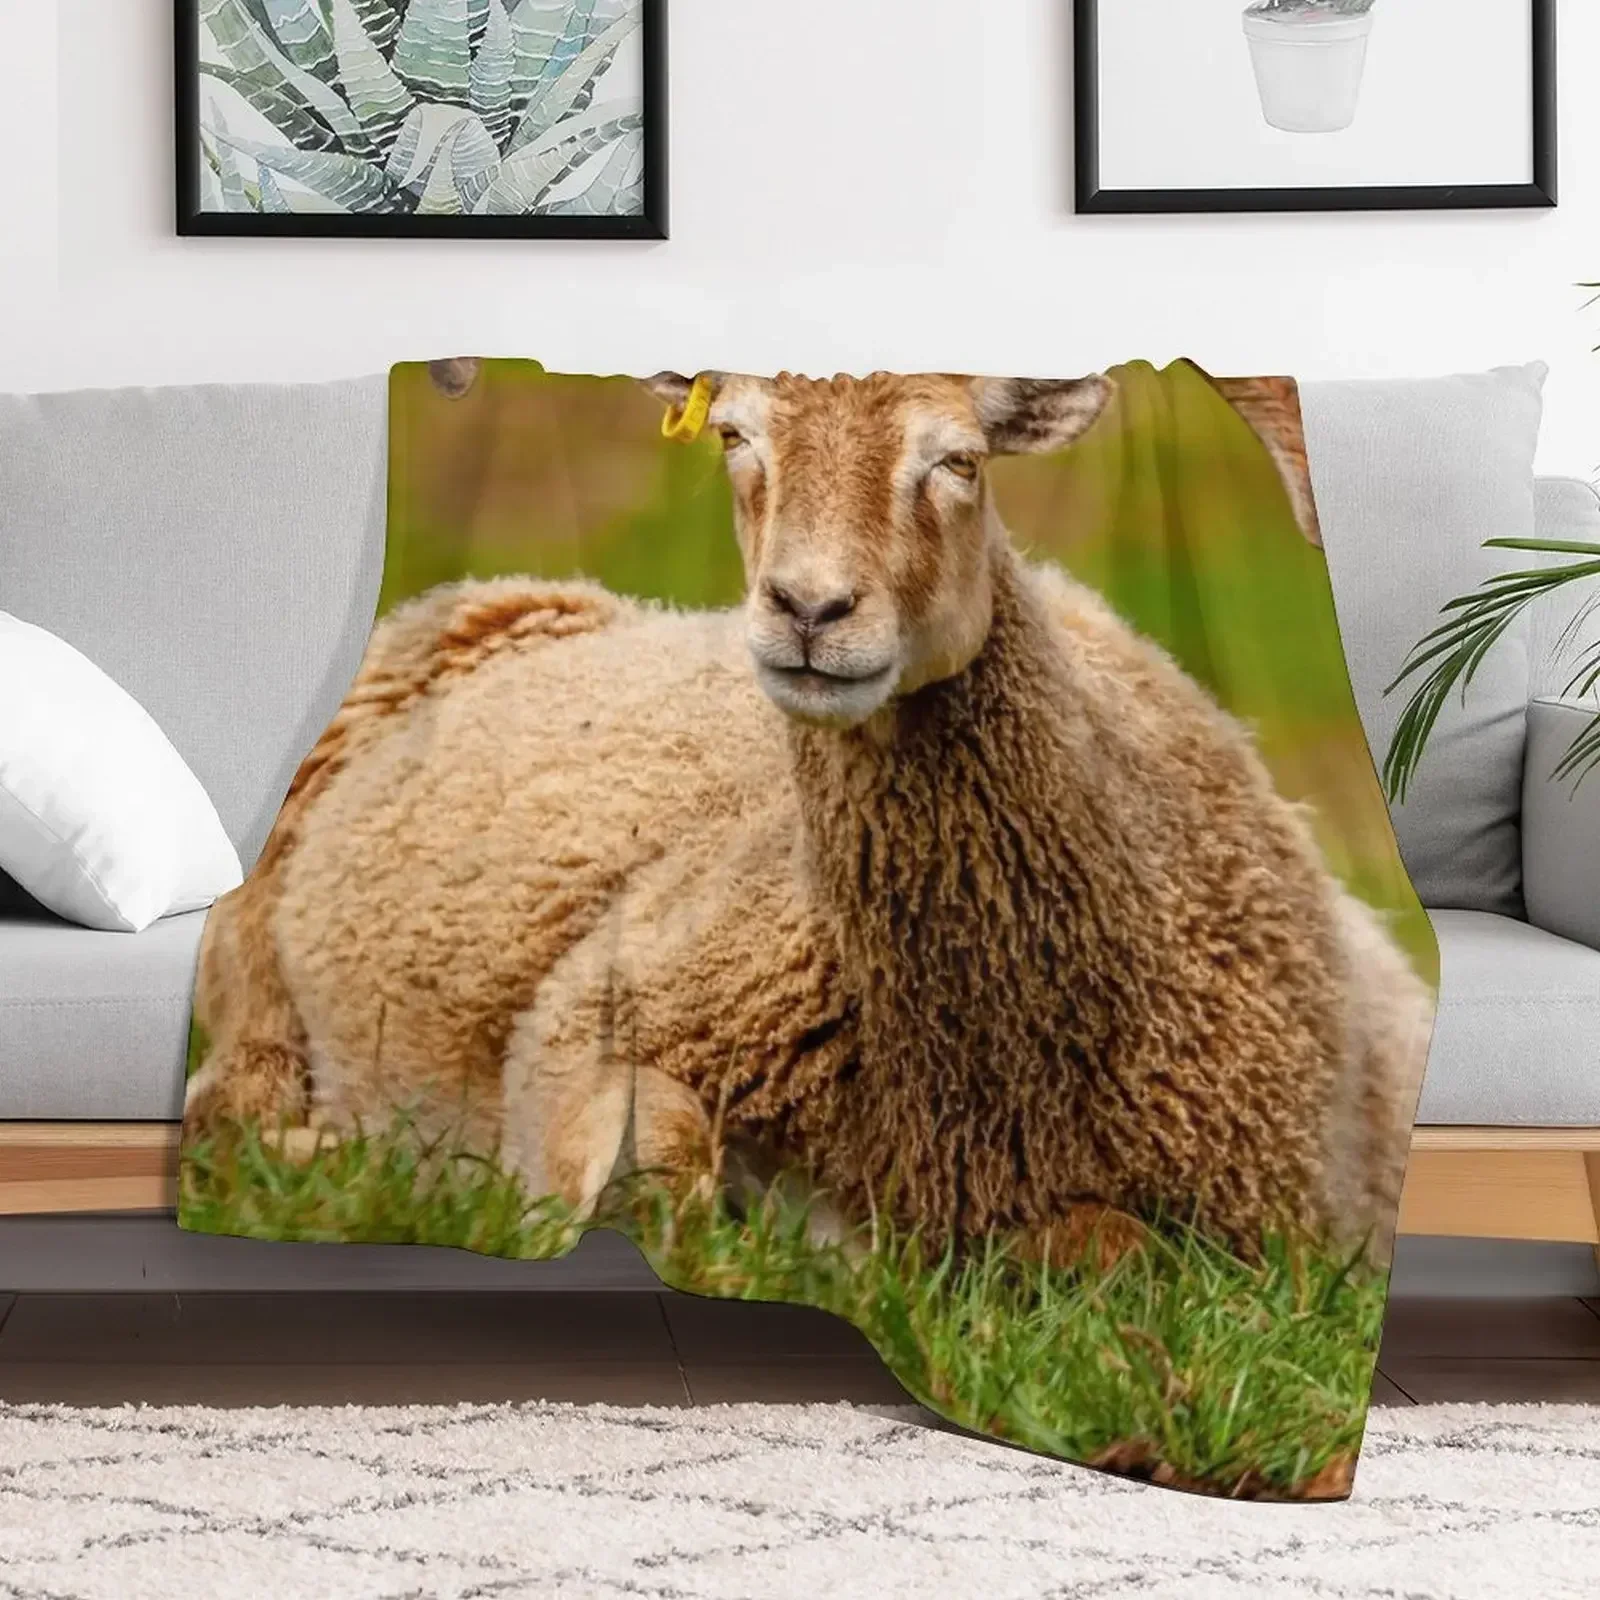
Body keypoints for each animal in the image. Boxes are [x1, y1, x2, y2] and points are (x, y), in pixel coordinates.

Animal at [186, 367, 1433, 1261]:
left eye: (958, 458)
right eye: (736, 436)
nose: (807, 609)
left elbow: (1107, 1245)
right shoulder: (587, 1018)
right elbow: (657, 1167)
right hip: (258, 983)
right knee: (226, 1095)